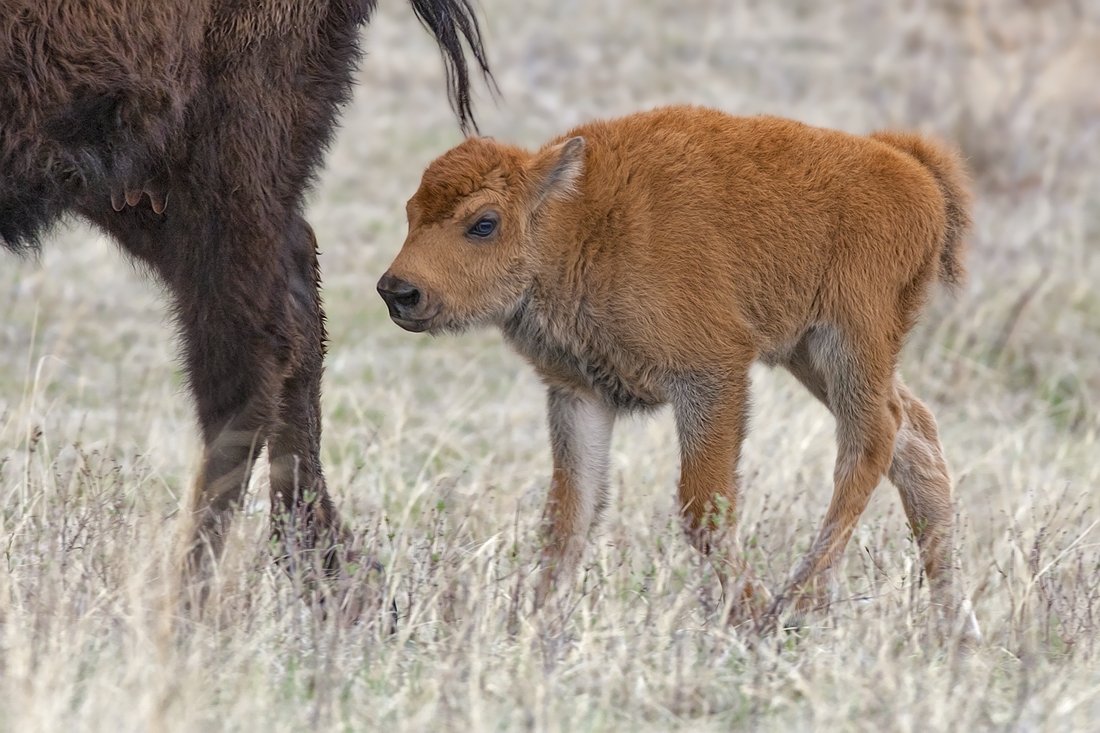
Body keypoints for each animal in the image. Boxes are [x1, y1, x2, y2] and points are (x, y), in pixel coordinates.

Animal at [0, 0, 490, 611]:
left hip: (226, 156)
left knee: (245, 364)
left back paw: (185, 607)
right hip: (144, 187)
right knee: (292, 315)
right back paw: (341, 588)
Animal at [380, 104, 981, 633]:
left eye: (484, 223)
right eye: (410, 212)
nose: (398, 291)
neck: (574, 223)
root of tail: (910, 167)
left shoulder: (709, 376)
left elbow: (702, 508)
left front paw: (751, 620)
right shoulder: (578, 393)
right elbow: (569, 516)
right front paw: (529, 626)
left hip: (850, 340)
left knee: (872, 440)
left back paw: (799, 603)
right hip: (808, 353)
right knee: (915, 437)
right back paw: (953, 629)